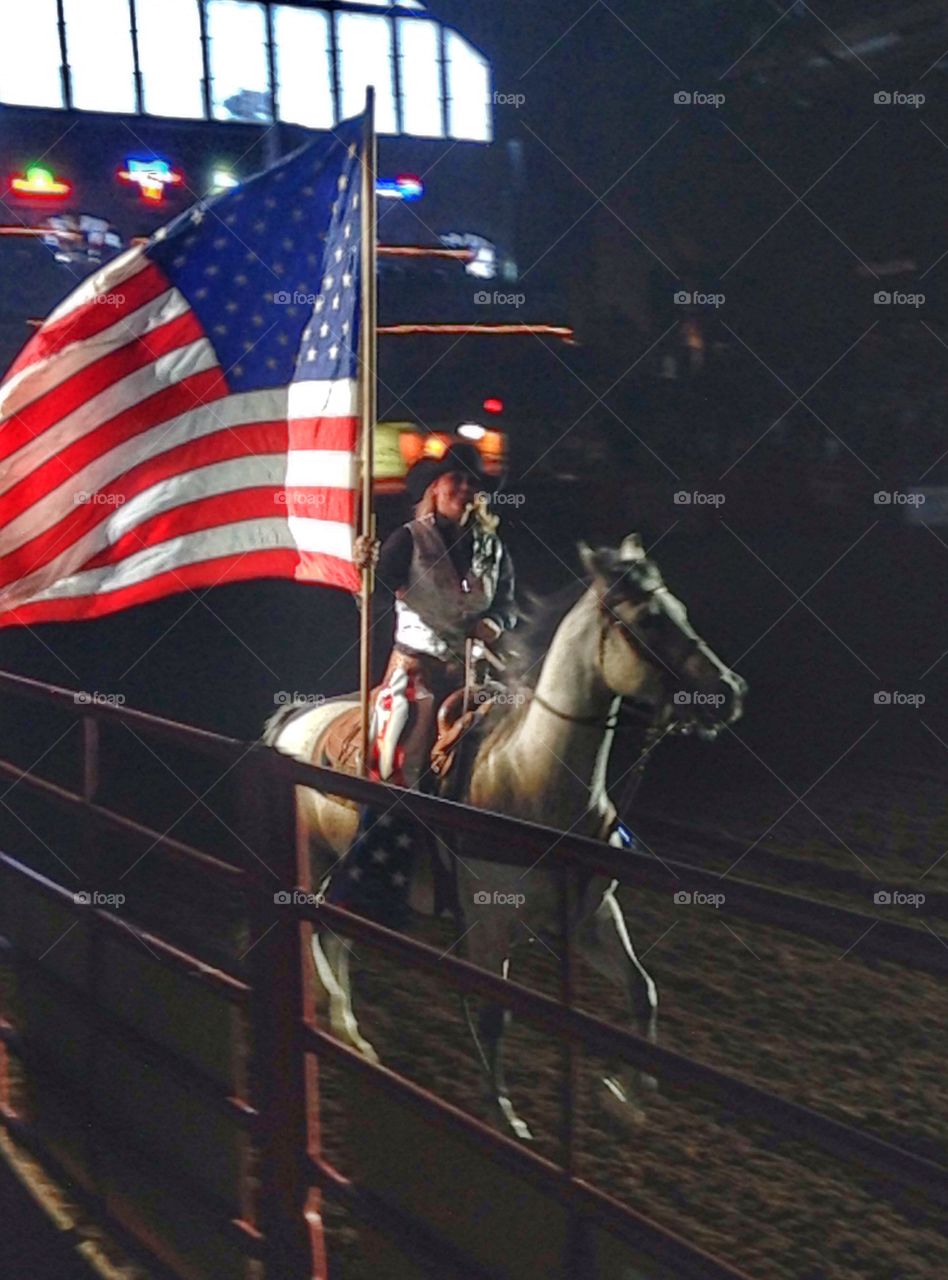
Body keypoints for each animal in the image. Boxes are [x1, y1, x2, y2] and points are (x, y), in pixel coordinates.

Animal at [262, 535, 742, 1136]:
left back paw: (349, 1033)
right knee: (319, 930)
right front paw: (504, 1117)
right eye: (651, 619)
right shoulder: (489, 923)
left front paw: (624, 1097)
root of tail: (296, 721)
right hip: (314, 858)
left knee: (336, 934)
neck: (527, 777)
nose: (728, 691)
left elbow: (643, 991)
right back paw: (344, 1024)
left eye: (680, 609)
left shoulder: (591, 916)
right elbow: (494, 1015)